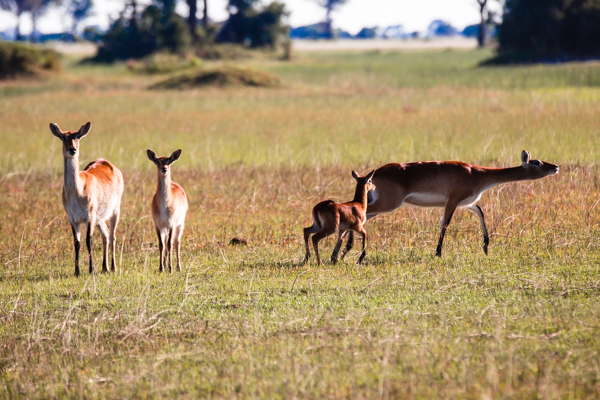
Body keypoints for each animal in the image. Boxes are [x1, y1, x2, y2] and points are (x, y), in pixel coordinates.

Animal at [49, 123, 124, 276]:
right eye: (63, 137)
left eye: (77, 136)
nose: (72, 149)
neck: (76, 192)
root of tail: (109, 164)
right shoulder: (73, 219)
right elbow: (76, 242)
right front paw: (77, 271)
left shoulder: (89, 216)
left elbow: (89, 241)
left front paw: (91, 270)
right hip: (100, 218)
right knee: (105, 235)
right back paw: (105, 267)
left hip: (114, 211)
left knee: (112, 236)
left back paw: (113, 267)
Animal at [340, 148, 560, 258]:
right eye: (537, 162)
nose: (556, 167)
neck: (477, 174)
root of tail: (373, 174)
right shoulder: (452, 200)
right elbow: (445, 224)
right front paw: (438, 253)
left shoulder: (468, 203)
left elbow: (481, 212)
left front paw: (486, 247)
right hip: (389, 203)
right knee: (360, 213)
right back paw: (346, 251)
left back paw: (345, 251)